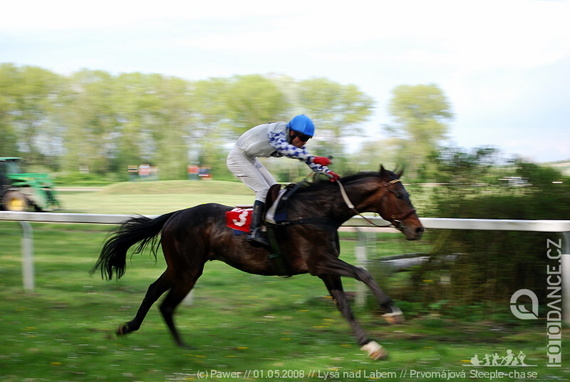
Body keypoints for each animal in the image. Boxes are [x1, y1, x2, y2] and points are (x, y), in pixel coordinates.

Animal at [92, 166, 422, 360]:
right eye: (398, 194)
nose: (418, 229)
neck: (319, 211)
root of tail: (175, 214)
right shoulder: (319, 263)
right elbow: (364, 273)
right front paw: (393, 311)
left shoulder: (326, 269)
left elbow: (344, 305)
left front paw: (371, 345)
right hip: (188, 269)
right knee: (166, 302)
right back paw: (179, 345)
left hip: (180, 267)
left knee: (153, 292)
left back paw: (132, 328)